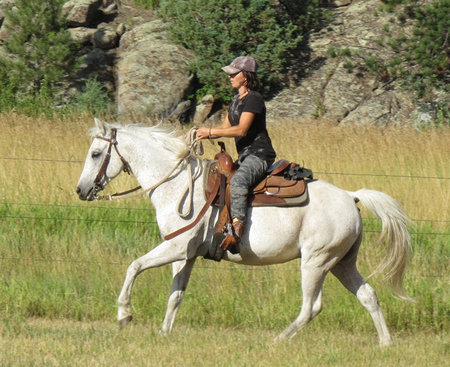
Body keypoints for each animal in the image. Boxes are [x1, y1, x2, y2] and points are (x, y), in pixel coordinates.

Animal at [75, 119, 414, 346]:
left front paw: (124, 315)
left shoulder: (174, 248)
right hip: (341, 263)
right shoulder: (186, 255)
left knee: (311, 307)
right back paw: (386, 344)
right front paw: (164, 332)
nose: (80, 190)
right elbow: (176, 295)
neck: (178, 185)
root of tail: (350, 196)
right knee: (368, 295)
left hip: (316, 262)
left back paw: (278, 340)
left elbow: (134, 266)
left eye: (95, 153)